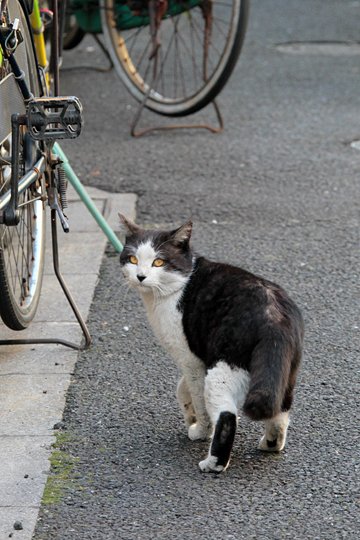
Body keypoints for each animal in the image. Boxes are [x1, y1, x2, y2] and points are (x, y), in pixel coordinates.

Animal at [119, 215, 304, 472]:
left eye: (158, 262)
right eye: (133, 259)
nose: (140, 276)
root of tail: (274, 318)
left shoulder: (190, 359)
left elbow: (198, 398)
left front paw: (200, 430)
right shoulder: (196, 359)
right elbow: (182, 388)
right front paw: (189, 413)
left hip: (224, 369)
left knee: (227, 417)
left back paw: (213, 464)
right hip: (285, 372)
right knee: (281, 409)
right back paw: (270, 444)